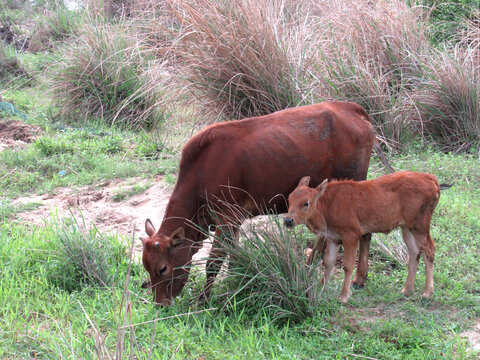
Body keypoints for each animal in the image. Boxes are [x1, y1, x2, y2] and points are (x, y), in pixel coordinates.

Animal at [141, 102, 392, 306]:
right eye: (146, 268)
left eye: (162, 268)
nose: (160, 305)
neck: (201, 173)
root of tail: (351, 108)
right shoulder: (234, 221)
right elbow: (234, 256)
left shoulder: (226, 218)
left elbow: (214, 262)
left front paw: (202, 300)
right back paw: (312, 264)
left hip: (355, 183)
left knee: (364, 232)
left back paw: (358, 277)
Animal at [284, 172, 442, 304]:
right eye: (289, 199)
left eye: (306, 203)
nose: (288, 220)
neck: (328, 205)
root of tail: (430, 178)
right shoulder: (333, 238)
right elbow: (328, 262)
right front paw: (321, 288)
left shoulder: (351, 235)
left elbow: (348, 265)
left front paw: (343, 296)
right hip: (406, 227)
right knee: (415, 252)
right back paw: (407, 290)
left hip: (420, 225)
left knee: (429, 250)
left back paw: (427, 293)